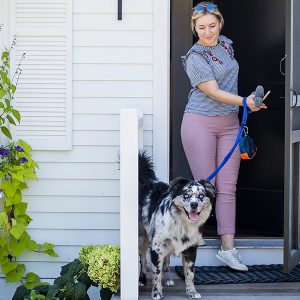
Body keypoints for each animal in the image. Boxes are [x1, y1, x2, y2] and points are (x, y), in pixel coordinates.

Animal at [138, 152, 216, 300]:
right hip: (142, 239)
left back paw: (168, 279)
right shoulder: (156, 247)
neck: (182, 224)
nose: (194, 204)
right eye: (186, 195)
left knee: (166, 262)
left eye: (201, 195)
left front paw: (191, 292)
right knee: (144, 261)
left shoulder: (191, 249)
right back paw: (142, 280)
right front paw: (157, 292)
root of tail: (146, 183)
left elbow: (190, 274)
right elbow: (156, 273)